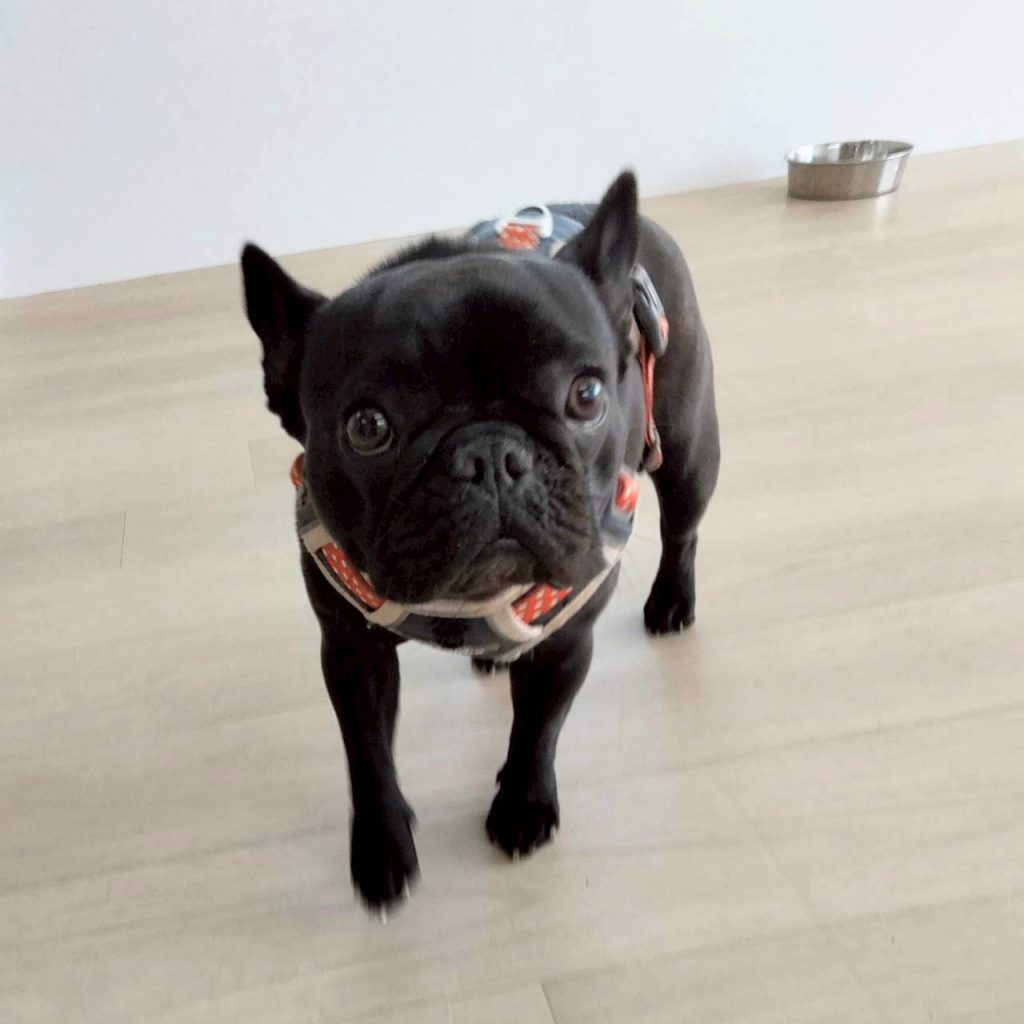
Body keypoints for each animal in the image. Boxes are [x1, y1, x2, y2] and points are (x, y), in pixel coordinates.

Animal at [240, 172, 720, 913]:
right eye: (367, 427)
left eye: (587, 395)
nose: (491, 454)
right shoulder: (352, 653)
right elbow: (368, 754)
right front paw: (382, 848)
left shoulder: (565, 641)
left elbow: (537, 731)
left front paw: (523, 808)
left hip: (689, 449)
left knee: (683, 528)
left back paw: (671, 601)